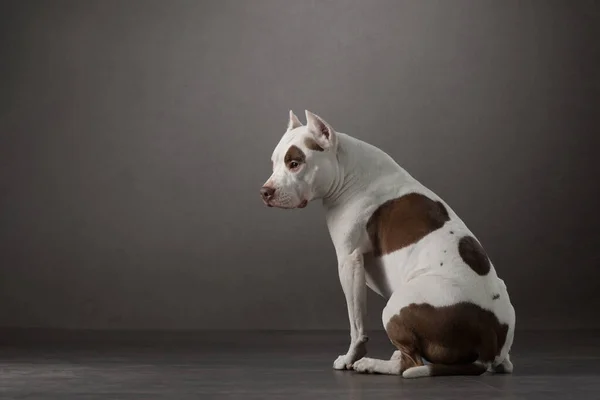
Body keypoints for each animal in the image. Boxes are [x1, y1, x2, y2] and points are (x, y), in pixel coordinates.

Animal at [258, 110, 516, 378]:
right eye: (274, 163)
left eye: (295, 163)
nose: (265, 192)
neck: (347, 168)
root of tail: (489, 345)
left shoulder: (349, 261)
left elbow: (356, 324)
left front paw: (350, 357)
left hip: (396, 306)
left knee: (411, 363)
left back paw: (372, 364)